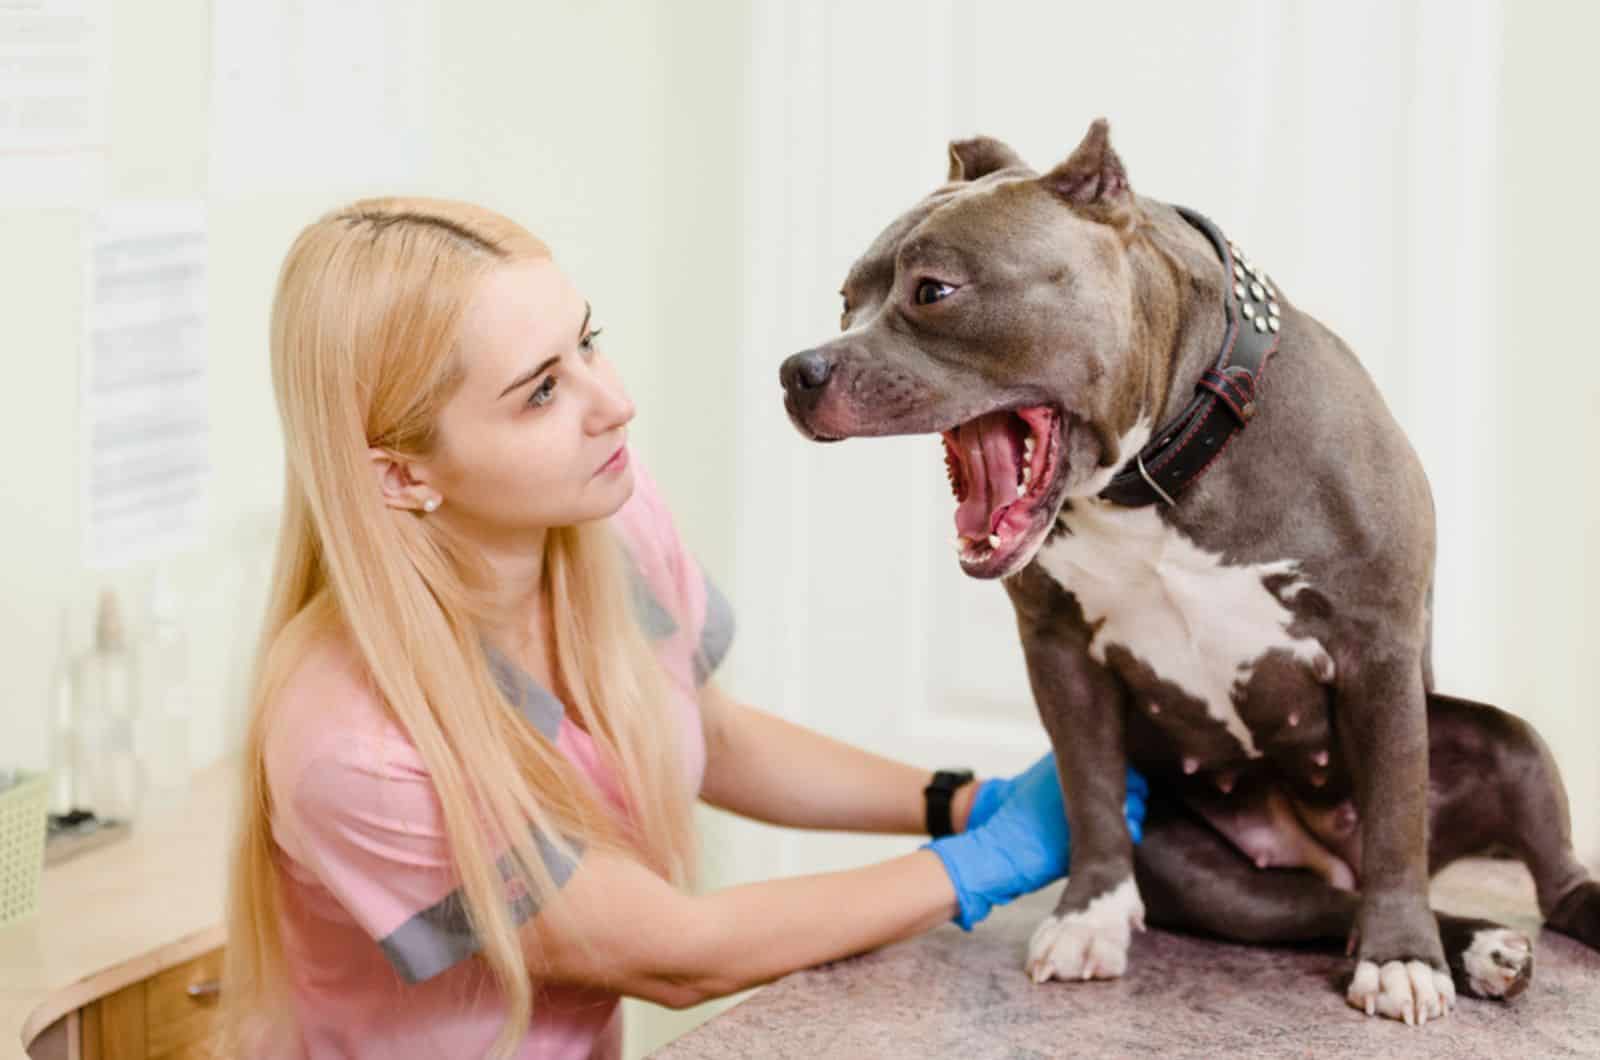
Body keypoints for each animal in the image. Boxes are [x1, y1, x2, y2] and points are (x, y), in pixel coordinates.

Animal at [777, 120, 1600, 1024]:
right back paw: (1477, 944)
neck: (1160, 472)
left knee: (1541, 872)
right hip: (1202, 872)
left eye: (933, 292)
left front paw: (1400, 958)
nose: (798, 370)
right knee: (1322, 906)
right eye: (846, 300)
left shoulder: (1377, 647)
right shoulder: (1060, 652)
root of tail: (1317, 849)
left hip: (1507, 746)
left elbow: (1394, 820)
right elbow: (1090, 791)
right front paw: (1090, 919)